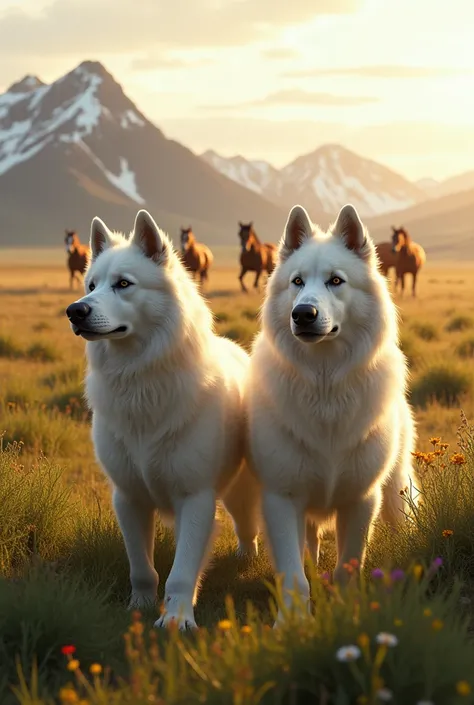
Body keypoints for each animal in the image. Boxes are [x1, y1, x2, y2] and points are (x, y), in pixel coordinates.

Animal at [66, 208, 260, 628]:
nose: (75, 310)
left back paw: (245, 559)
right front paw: (139, 607)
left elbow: (182, 572)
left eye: (123, 284)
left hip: (240, 492)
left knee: (247, 528)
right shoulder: (129, 498)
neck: (141, 379)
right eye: (91, 285)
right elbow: (142, 567)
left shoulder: (196, 498)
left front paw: (176, 619)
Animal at [246, 204, 416, 620]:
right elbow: (295, 575)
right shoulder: (282, 498)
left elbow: (347, 568)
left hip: (395, 490)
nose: (303, 313)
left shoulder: (361, 499)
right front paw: (292, 624)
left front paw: (346, 610)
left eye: (335, 281)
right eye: (297, 282)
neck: (324, 387)